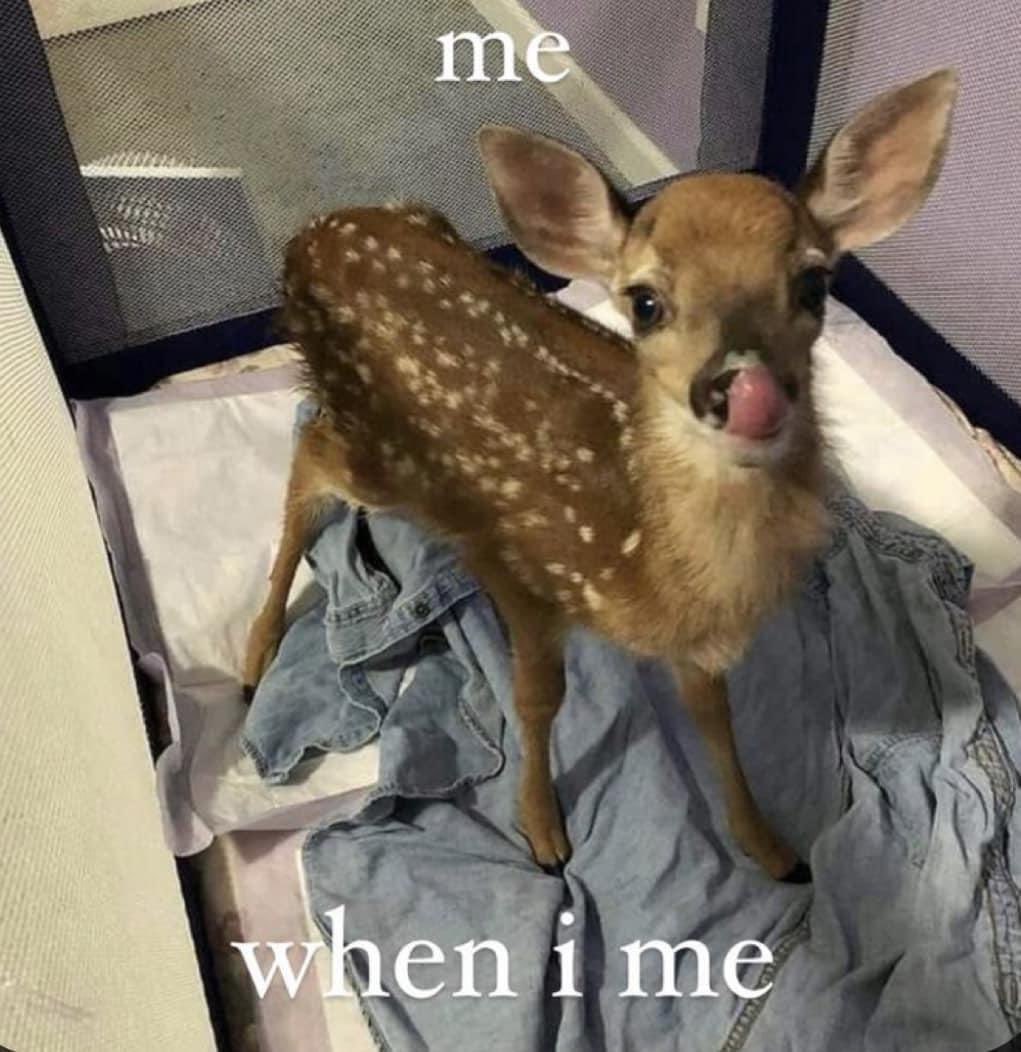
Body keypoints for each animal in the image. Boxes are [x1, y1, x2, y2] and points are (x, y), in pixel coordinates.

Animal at [244, 70, 958, 880]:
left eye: (814, 284)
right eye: (645, 303)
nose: (740, 389)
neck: (641, 550)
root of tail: (310, 234)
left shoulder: (694, 642)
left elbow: (714, 718)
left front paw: (770, 847)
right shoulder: (519, 570)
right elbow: (537, 699)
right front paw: (542, 831)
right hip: (379, 456)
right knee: (310, 448)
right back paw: (255, 652)